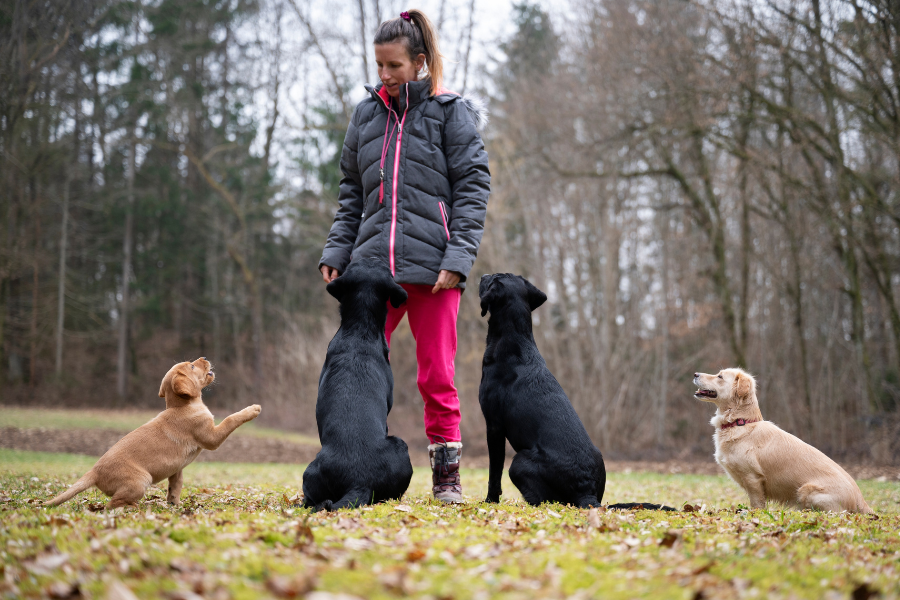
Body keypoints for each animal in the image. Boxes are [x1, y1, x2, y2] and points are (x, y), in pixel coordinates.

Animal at [45, 358, 260, 508]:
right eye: (192, 366)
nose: (205, 357)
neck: (182, 406)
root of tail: (94, 472)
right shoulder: (211, 437)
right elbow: (231, 419)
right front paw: (252, 409)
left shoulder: (176, 468)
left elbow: (176, 485)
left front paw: (174, 505)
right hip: (141, 481)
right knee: (112, 504)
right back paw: (135, 508)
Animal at [688, 368, 872, 512]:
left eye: (719, 376)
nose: (695, 373)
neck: (740, 422)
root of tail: (860, 500)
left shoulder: (753, 478)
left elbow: (757, 504)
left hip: (807, 490)